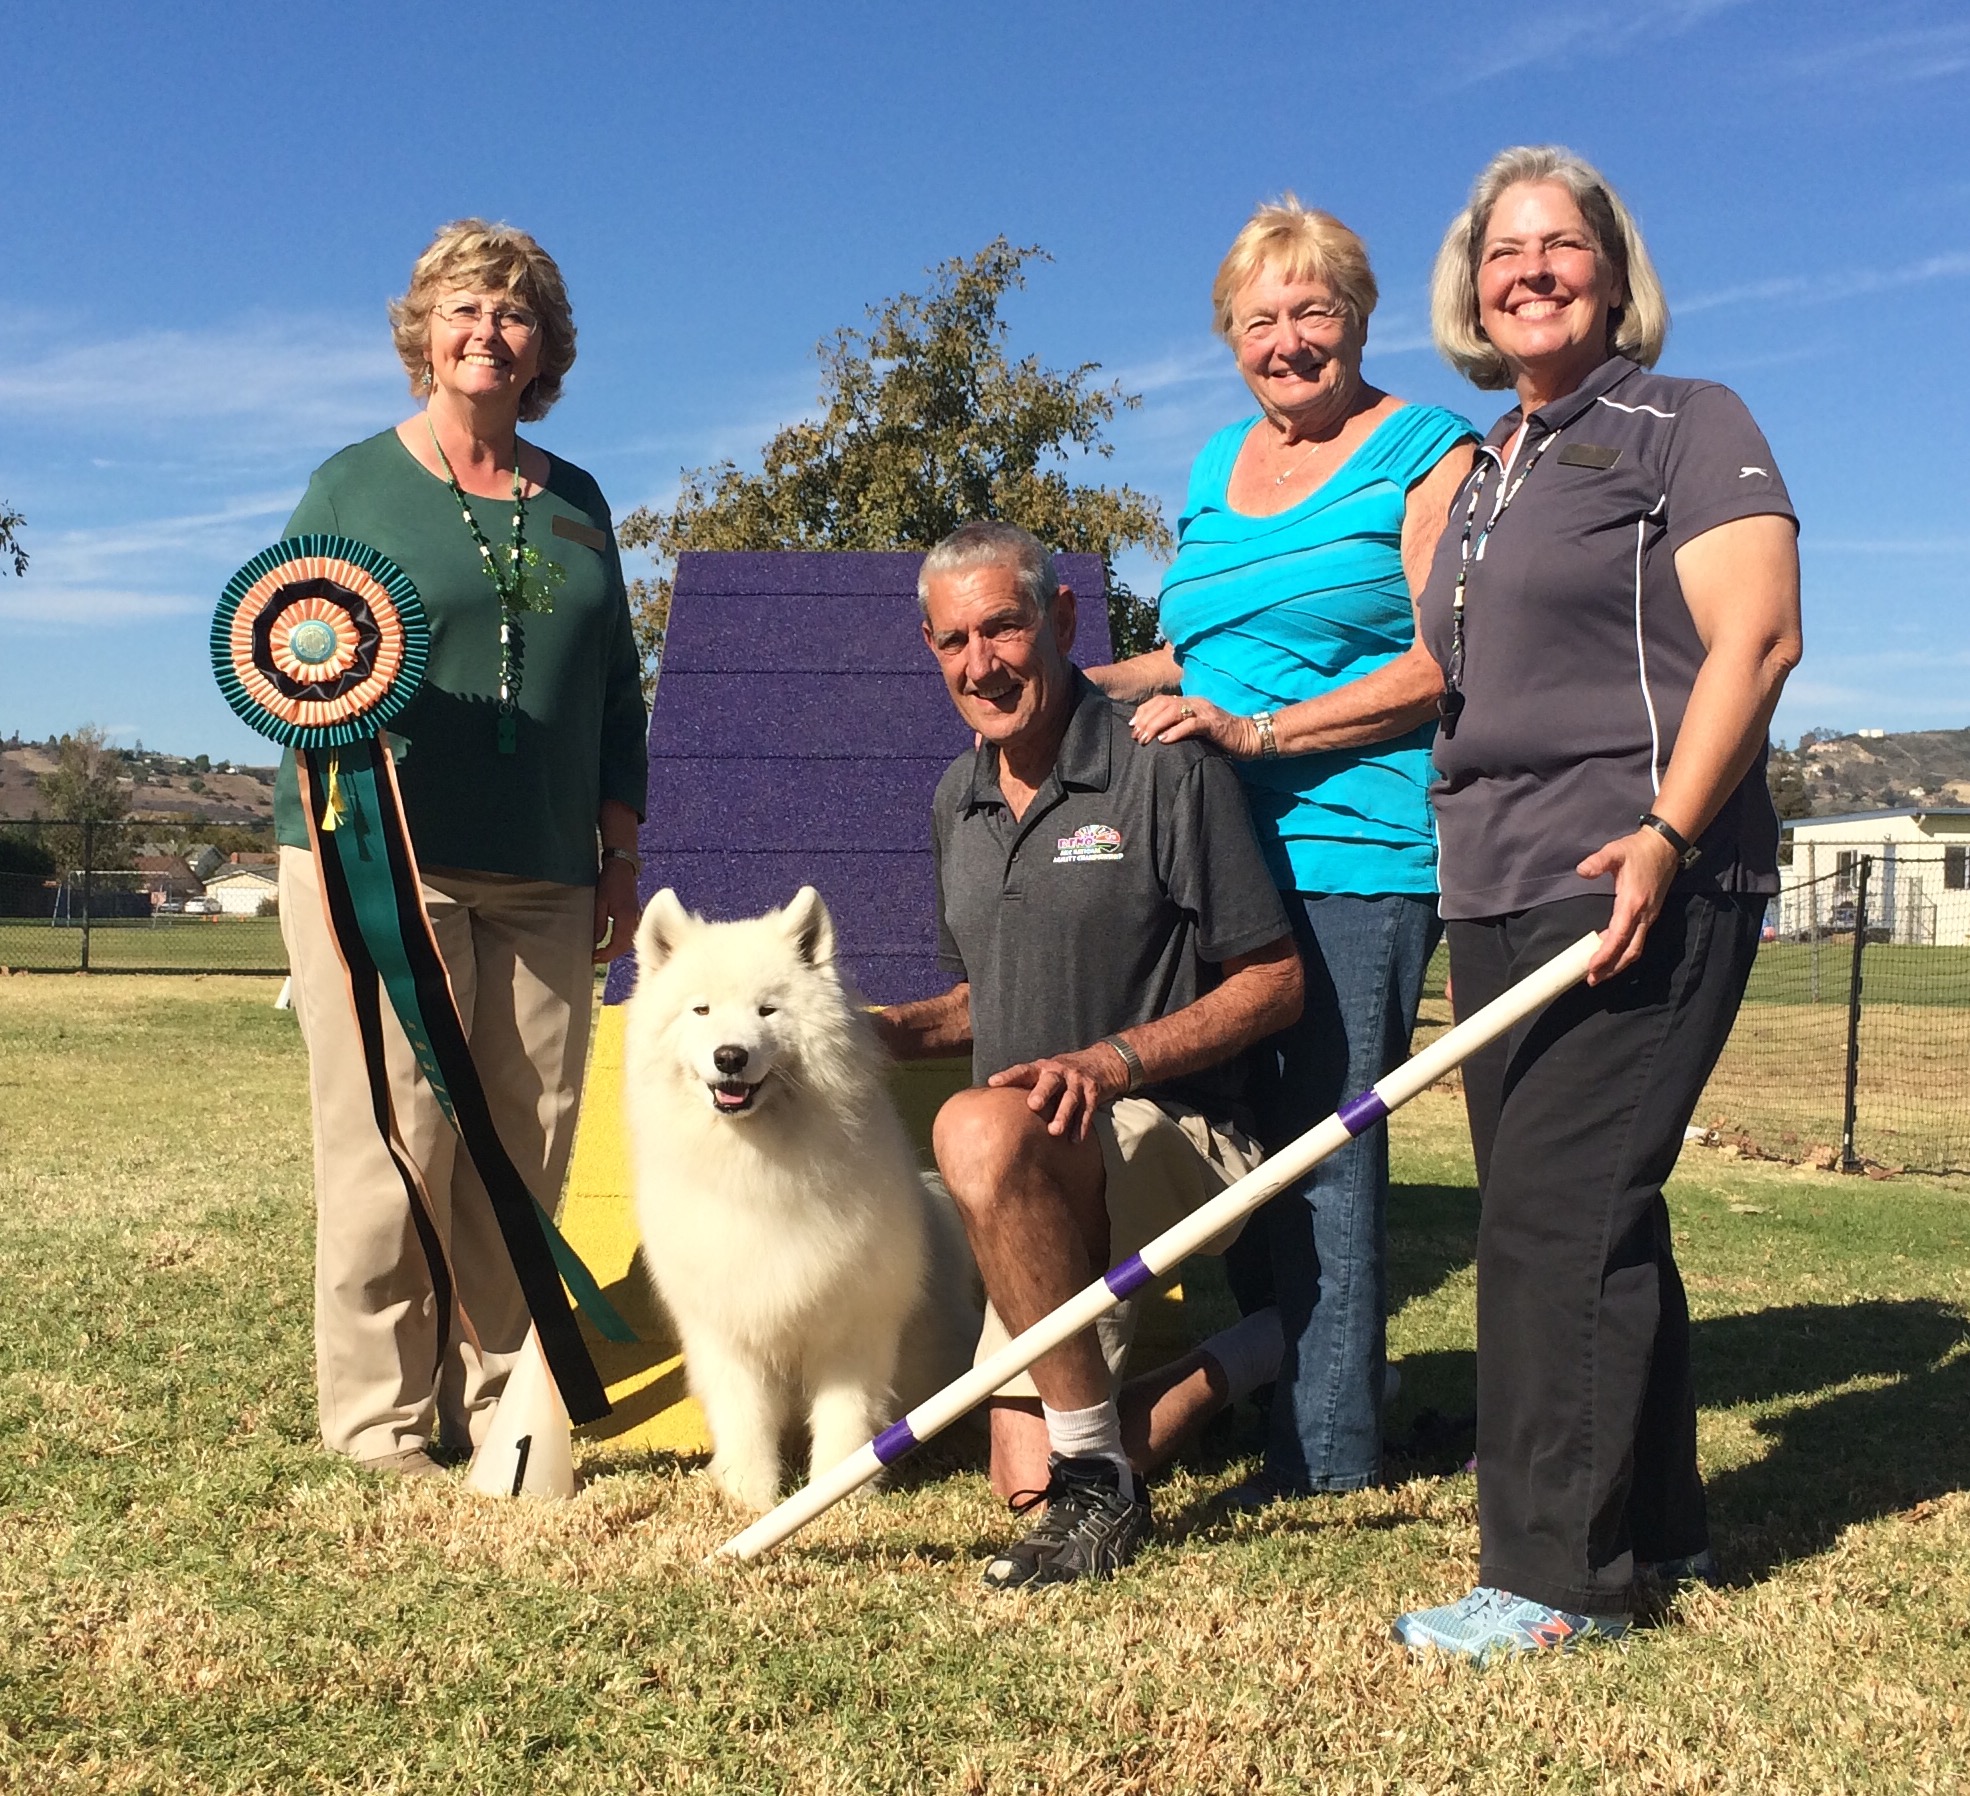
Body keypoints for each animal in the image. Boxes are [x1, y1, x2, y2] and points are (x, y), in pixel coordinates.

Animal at [622, 890, 977, 1504]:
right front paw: (751, 1495)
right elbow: (744, 1417)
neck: (757, 1170)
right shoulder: (727, 1326)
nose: (731, 1057)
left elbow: (845, 1418)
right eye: (701, 1011)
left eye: (768, 1011)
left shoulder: (852, 1326)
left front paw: (838, 1492)